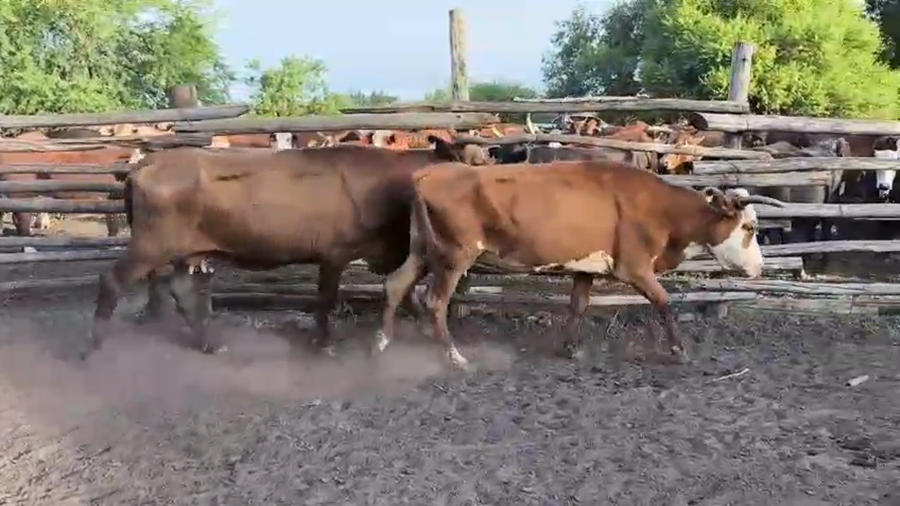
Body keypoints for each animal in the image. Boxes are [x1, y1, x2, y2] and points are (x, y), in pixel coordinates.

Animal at [85, 137, 489, 360]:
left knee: (182, 292)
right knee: (112, 281)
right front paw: (324, 342)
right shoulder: (335, 253)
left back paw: (210, 345)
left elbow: (405, 294)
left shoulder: (386, 253)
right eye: (474, 161)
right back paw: (93, 347)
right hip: (150, 245)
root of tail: (148, 161)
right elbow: (326, 299)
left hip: (183, 252)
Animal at [375, 160, 784, 370]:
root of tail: (429, 173)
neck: (659, 207)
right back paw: (454, 357)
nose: (760, 269)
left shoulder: (585, 268)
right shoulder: (634, 268)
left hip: (422, 250)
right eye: (749, 227)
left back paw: (382, 343)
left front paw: (571, 347)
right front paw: (679, 350)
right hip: (453, 255)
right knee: (435, 302)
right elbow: (664, 301)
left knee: (396, 284)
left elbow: (579, 304)